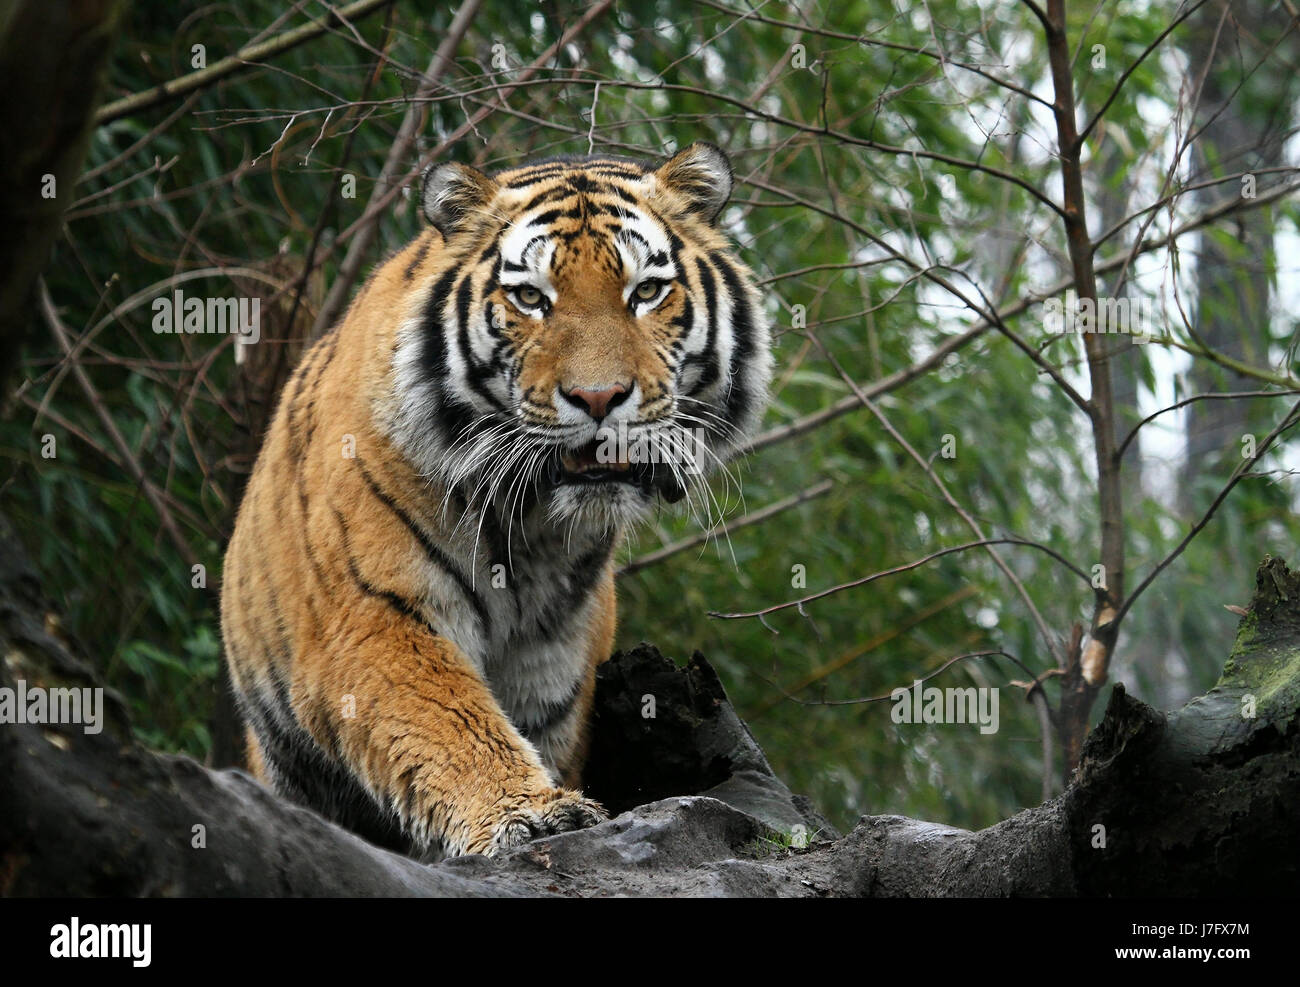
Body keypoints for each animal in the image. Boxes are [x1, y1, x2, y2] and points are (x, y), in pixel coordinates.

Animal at [220, 141, 769, 858]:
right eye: (531, 297)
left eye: (646, 291)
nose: (599, 398)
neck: (537, 528)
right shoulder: (373, 615)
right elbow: (450, 718)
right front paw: (531, 814)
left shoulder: (554, 661)